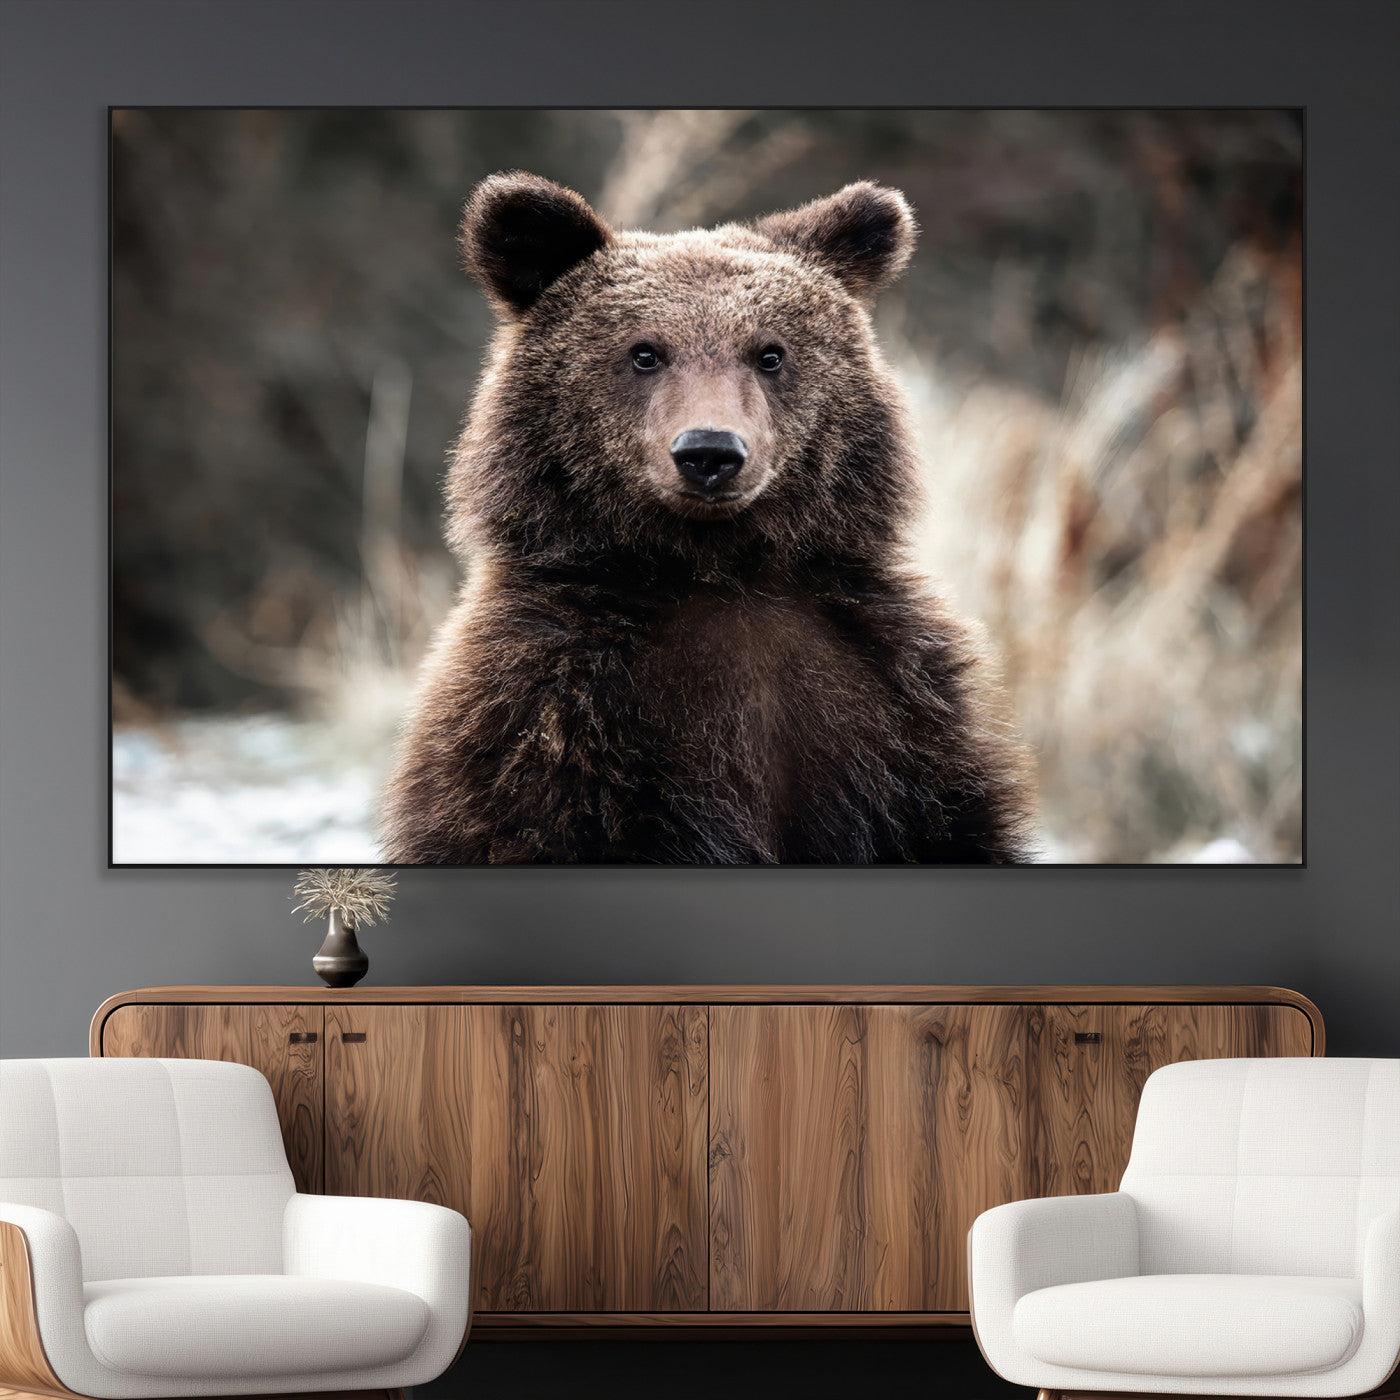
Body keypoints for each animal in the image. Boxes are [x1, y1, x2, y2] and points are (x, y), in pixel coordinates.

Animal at [380, 172, 1034, 864]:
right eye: (644, 352)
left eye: (770, 353)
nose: (710, 452)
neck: (718, 569)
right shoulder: (547, 715)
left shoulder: (897, 710)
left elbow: (947, 822)